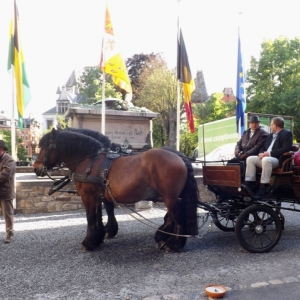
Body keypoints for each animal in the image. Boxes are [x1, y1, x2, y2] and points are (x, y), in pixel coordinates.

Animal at [33, 127, 199, 252]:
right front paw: (99, 237)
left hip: (169, 196)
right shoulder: (98, 195)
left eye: (46, 146)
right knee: (172, 215)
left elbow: (91, 217)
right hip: (170, 196)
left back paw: (174, 243)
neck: (89, 160)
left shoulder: (87, 196)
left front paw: (89, 242)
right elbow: (100, 214)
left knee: (177, 215)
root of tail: (179, 156)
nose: (36, 168)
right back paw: (162, 236)